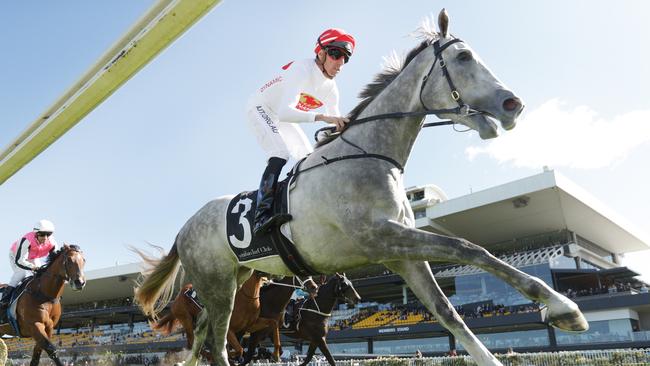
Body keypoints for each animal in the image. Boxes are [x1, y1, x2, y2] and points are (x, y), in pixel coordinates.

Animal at [135, 9, 588, 366]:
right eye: (463, 56)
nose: (513, 104)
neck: (370, 155)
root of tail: (184, 227)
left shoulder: (402, 254)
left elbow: (449, 311)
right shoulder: (380, 238)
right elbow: (468, 248)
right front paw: (564, 307)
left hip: (232, 276)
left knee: (203, 338)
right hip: (217, 285)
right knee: (217, 343)